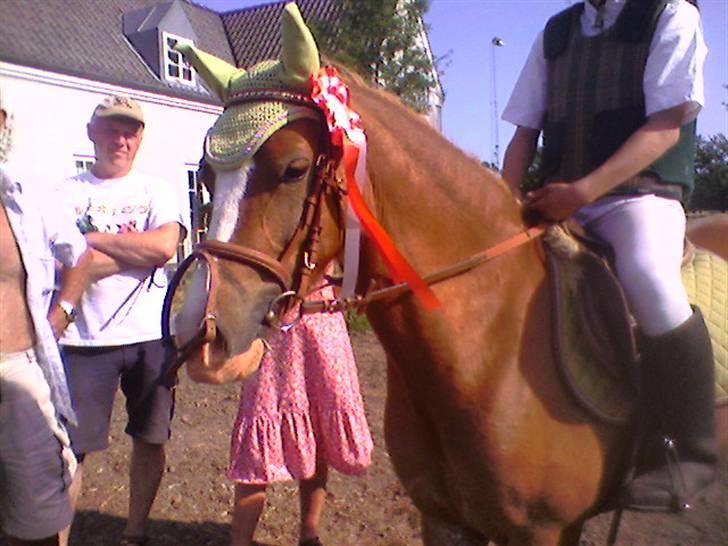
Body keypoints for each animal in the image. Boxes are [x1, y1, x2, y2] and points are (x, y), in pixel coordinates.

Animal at [166, 4, 712, 544]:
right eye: (206, 178)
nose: (200, 331)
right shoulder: (443, 517)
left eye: (294, 169)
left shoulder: (547, 530)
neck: (491, 350)